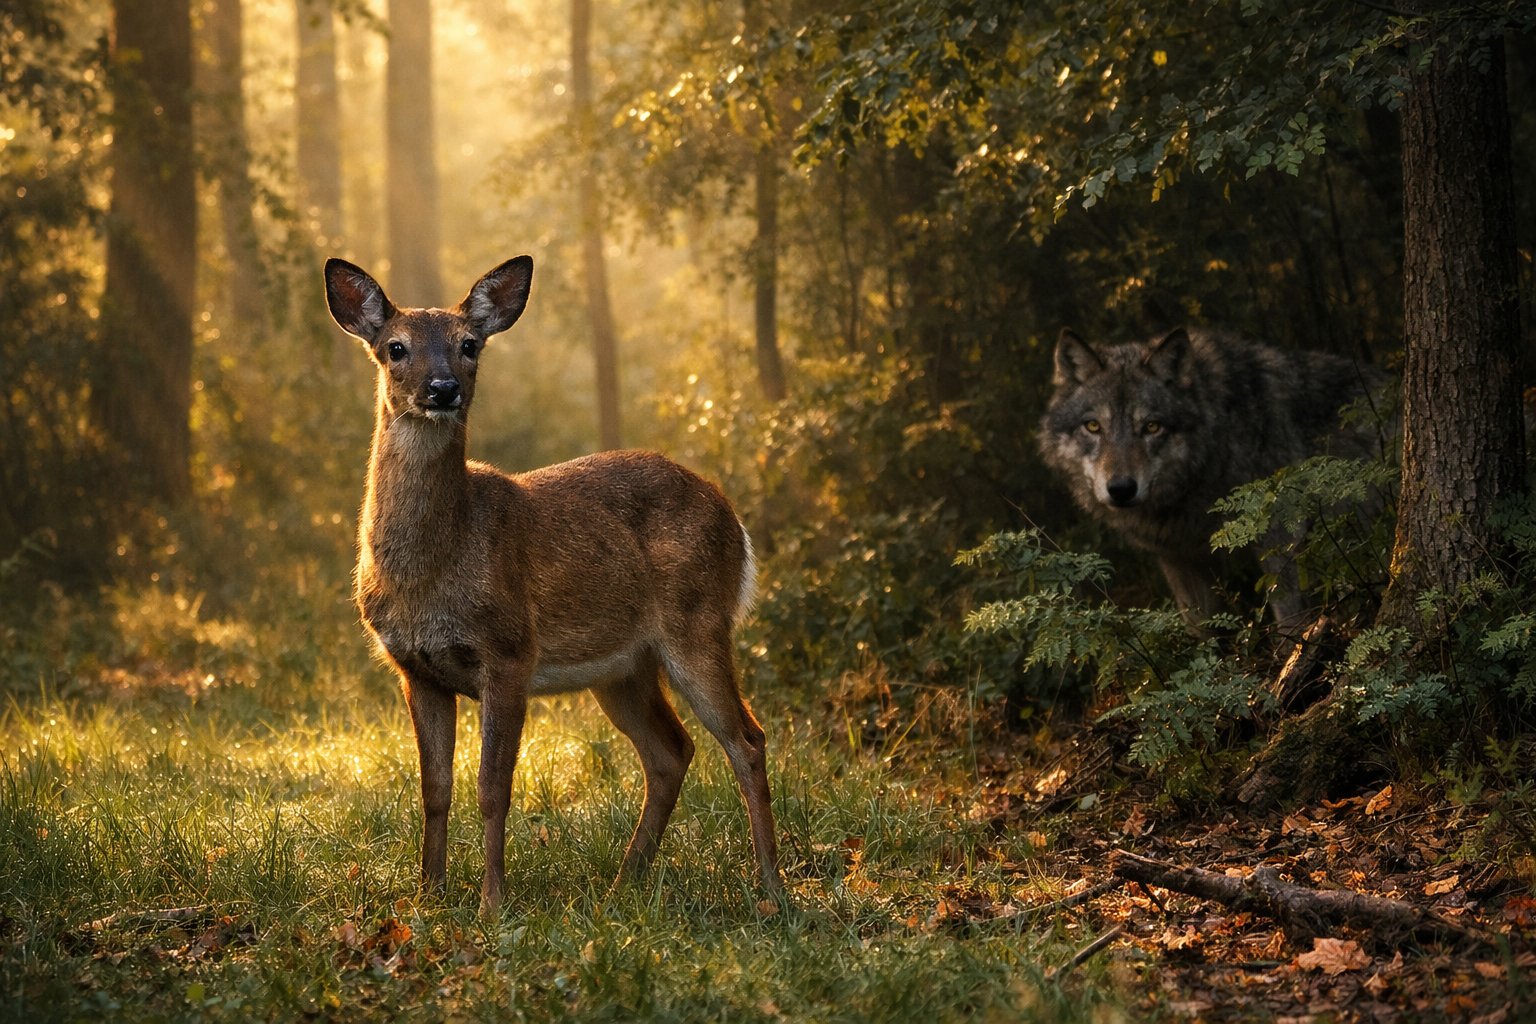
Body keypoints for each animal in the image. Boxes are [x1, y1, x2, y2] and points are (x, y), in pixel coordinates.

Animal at [323, 255, 782, 914]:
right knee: (671, 752)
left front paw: (491, 903)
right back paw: (621, 885)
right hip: (623, 668)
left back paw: (771, 886)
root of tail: (733, 518)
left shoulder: (510, 651)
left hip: (698, 623)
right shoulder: (415, 669)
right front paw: (428, 898)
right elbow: (434, 789)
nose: (443, 388)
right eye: (395, 348)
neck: (430, 574)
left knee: (746, 739)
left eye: (469, 344)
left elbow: (492, 788)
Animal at [1038, 326, 1388, 625]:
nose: (1122, 489)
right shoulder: (1181, 559)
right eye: (1093, 426)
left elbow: (1291, 618)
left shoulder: (1280, 537)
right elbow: (1203, 632)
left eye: (1151, 426)